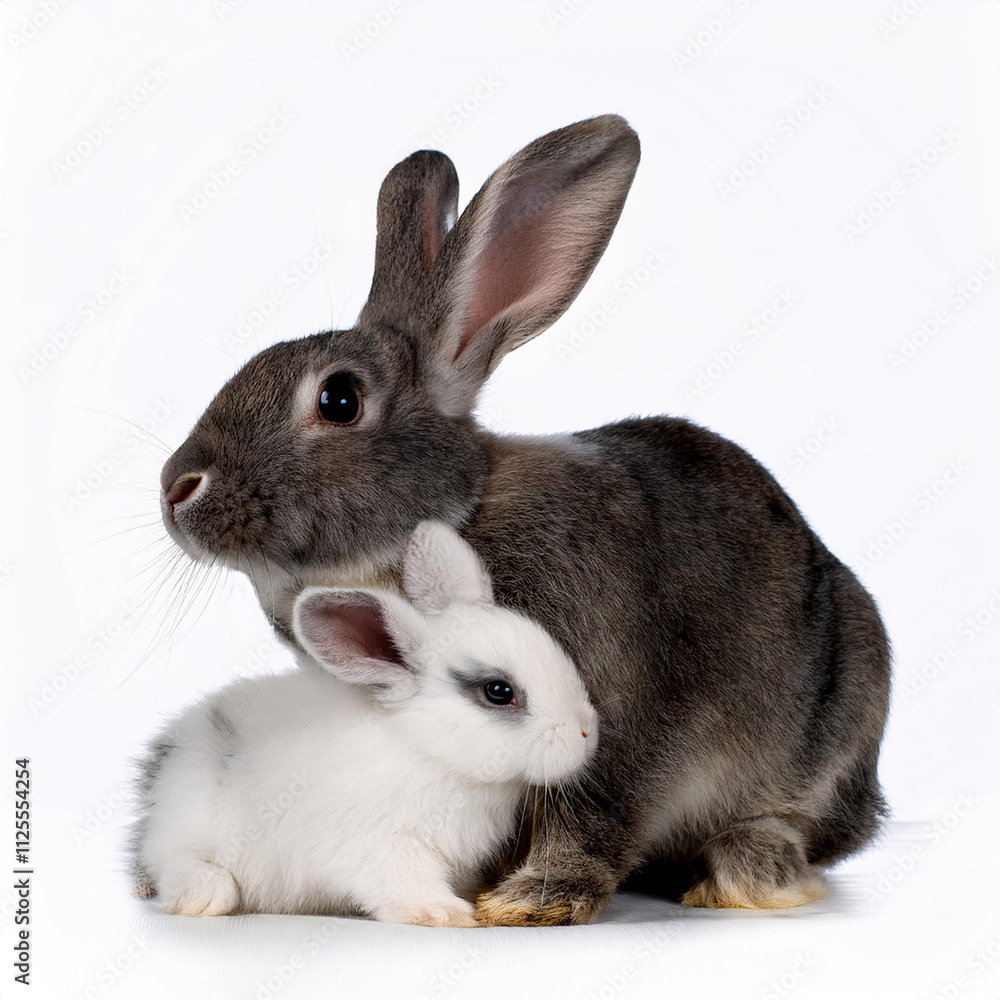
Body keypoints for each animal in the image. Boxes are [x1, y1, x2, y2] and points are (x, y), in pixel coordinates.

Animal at [131, 521, 597, 925]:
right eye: (499, 691)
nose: (587, 733)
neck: (429, 752)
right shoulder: (380, 846)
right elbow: (401, 885)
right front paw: (444, 913)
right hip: (191, 823)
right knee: (172, 861)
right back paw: (204, 895)